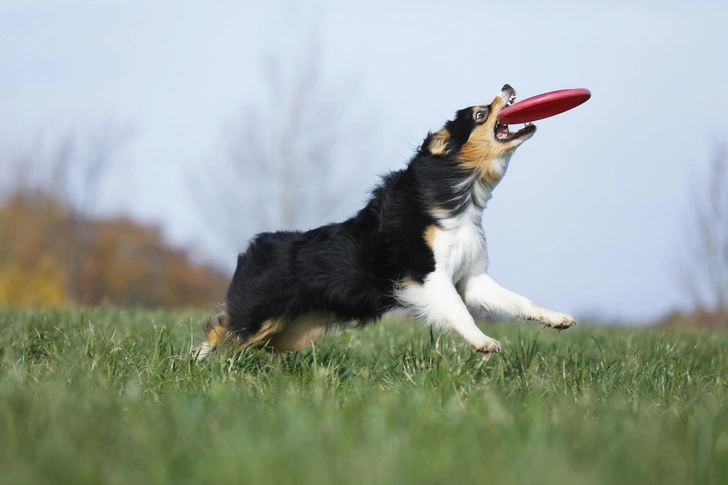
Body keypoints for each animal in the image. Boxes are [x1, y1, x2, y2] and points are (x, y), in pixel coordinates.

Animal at [192, 85, 576, 362]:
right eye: (481, 113)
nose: (508, 85)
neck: (461, 199)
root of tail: (253, 247)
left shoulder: (472, 278)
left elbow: (519, 302)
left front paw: (557, 318)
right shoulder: (426, 276)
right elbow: (459, 313)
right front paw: (484, 342)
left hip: (290, 331)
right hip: (261, 315)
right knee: (221, 332)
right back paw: (197, 364)